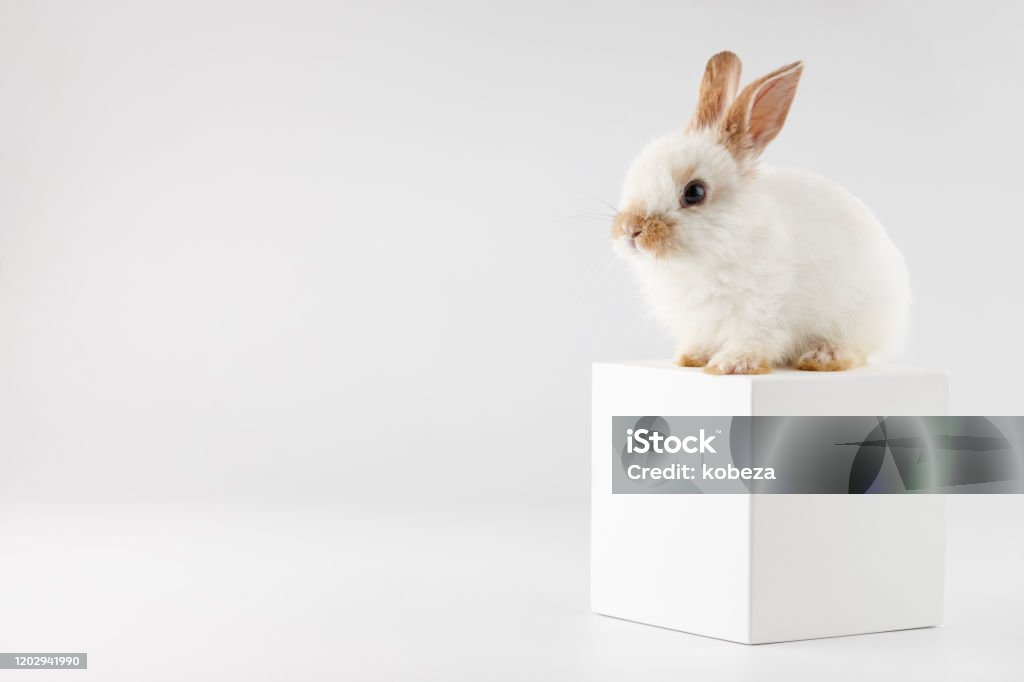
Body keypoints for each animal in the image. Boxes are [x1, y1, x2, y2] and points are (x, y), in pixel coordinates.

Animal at [612, 51, 910, 375]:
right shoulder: (702, 322)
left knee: (856, 350)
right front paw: (691, 358)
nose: (630, 230)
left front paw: (731, 365)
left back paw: (822, 357)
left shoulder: (763, 307)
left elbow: (753, 338)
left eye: (695, 192)